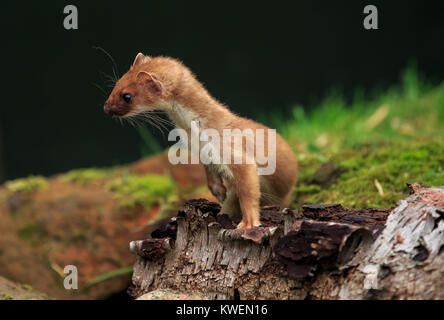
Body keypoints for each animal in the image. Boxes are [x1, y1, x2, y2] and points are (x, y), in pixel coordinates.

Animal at [104, 53, 298, 230]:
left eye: (126, 96)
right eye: (117, 83)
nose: (106, 107)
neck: (195, 133)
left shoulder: (233, 149)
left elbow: (248, 188)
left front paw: (248, 223)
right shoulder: (202, 151)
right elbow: (211, 174)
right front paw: (219, 192)